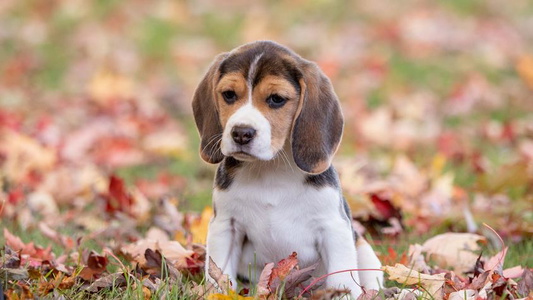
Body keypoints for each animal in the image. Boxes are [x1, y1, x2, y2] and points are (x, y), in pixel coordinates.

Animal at [191, 40, 382, 298]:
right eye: (229, 95)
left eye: (276, 99)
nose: (241, 133)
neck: (271, 168)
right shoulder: (225, 226)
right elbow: (219, 274)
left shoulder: (334, 227)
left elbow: (341, 277)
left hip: (365, 252)